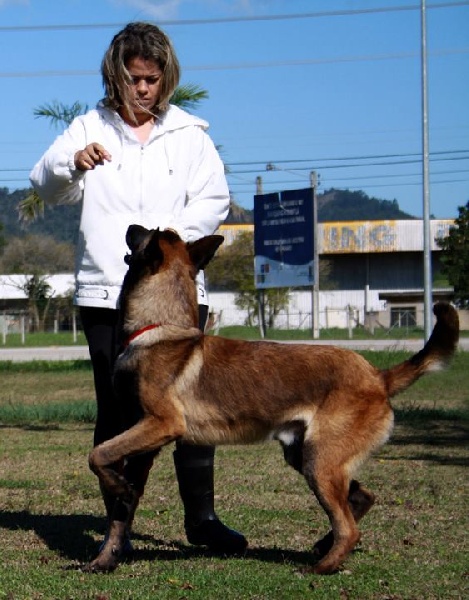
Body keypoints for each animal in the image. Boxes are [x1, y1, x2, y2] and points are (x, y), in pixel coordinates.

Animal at [87, 227, 458, 576]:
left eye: (145, 232)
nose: (131, 225)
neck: (158, 327)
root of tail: (378, 377)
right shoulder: (143, 443)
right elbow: (120, 509)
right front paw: (107, 556)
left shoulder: (160, 425)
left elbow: (98, 455)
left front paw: (116, 491)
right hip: (306, 456)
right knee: (361, 499)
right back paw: (325, 545)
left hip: (320, 463)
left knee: (350, 527)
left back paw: (322, 566)